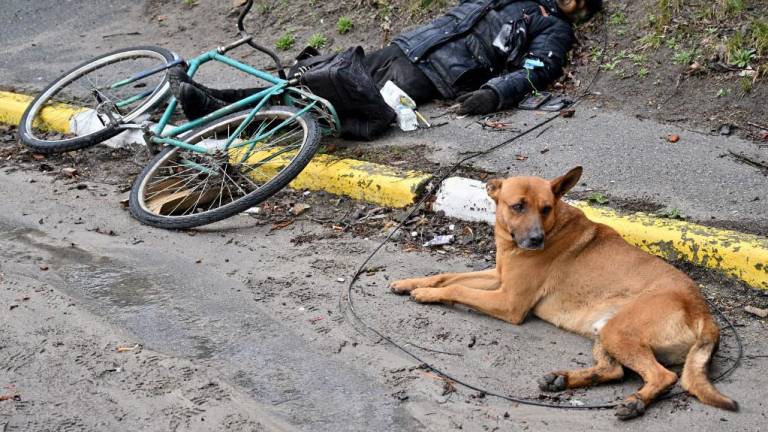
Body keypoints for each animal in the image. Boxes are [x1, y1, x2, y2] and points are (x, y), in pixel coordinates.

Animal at [392, 167, 736, 420]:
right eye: (518, 206)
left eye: (545, 208)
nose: (535, 240)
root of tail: (704, 312)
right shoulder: (498, 278)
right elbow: (447, 275)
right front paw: (411, 282)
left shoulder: (508, 301)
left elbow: (457, 287)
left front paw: (425, 294)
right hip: (606, 331)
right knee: (613, 370)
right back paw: (564, 380)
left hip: (619, 330)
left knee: (663, 376)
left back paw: (635, 402)